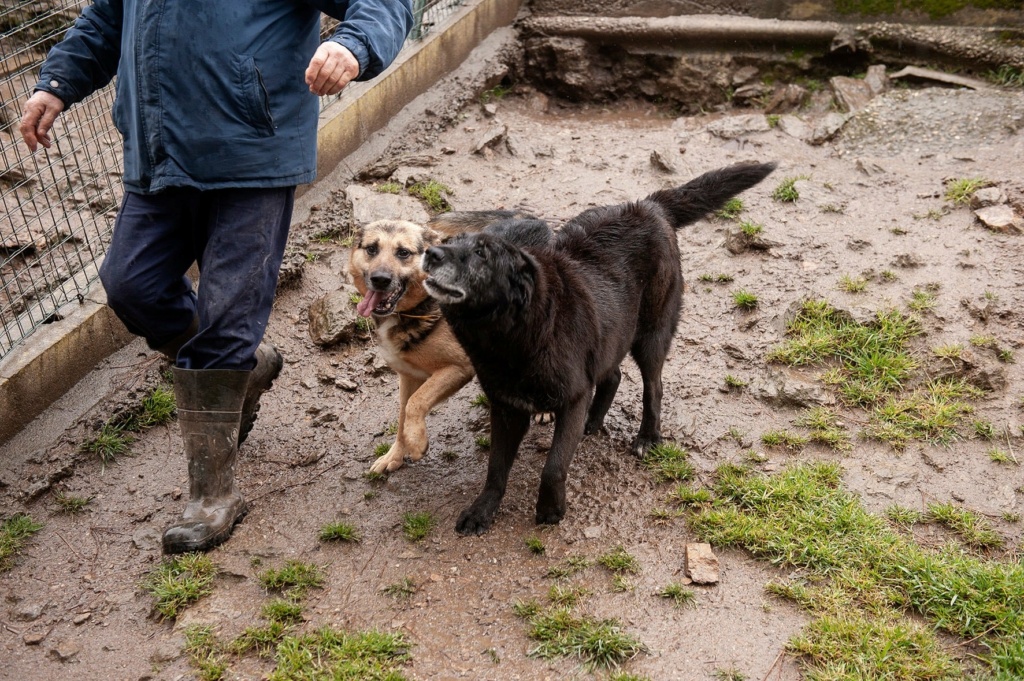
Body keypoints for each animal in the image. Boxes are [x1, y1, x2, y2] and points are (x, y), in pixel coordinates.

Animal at [350, 210, 544, 473]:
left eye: (403, 253)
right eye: (371, 249)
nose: (380, 279)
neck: (419, 307)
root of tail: (529, 219)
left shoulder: (457, 368)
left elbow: (415, 403)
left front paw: (417, 442)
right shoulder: (408, 376)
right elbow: (402, 414)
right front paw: (395, 454)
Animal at [423, 161, 774, 532]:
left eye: (481, 253)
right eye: (450, 242)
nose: (430, 253)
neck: (512, 337)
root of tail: (649, 205)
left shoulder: (573, 397)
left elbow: (554, 466)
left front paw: (550, 510)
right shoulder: (506, 408)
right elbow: (496, 469)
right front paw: (482, 510)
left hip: (650, 335)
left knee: (654, 386)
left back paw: (647, 437)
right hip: (611, 334)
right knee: (614, 375)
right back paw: (594, 420)